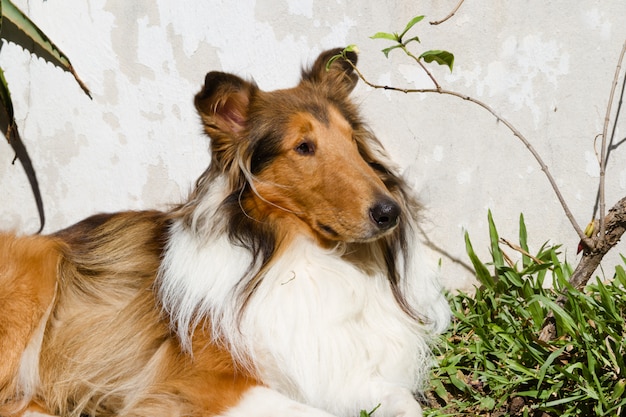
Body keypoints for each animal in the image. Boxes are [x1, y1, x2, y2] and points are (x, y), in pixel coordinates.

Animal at [0, 49, 448, 416]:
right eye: (303, 147)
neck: (294, 255)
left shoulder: (336, 372)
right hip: (38, 271)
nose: (390, 213)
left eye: (353, 140)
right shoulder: (202, 385)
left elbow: (404, 402)